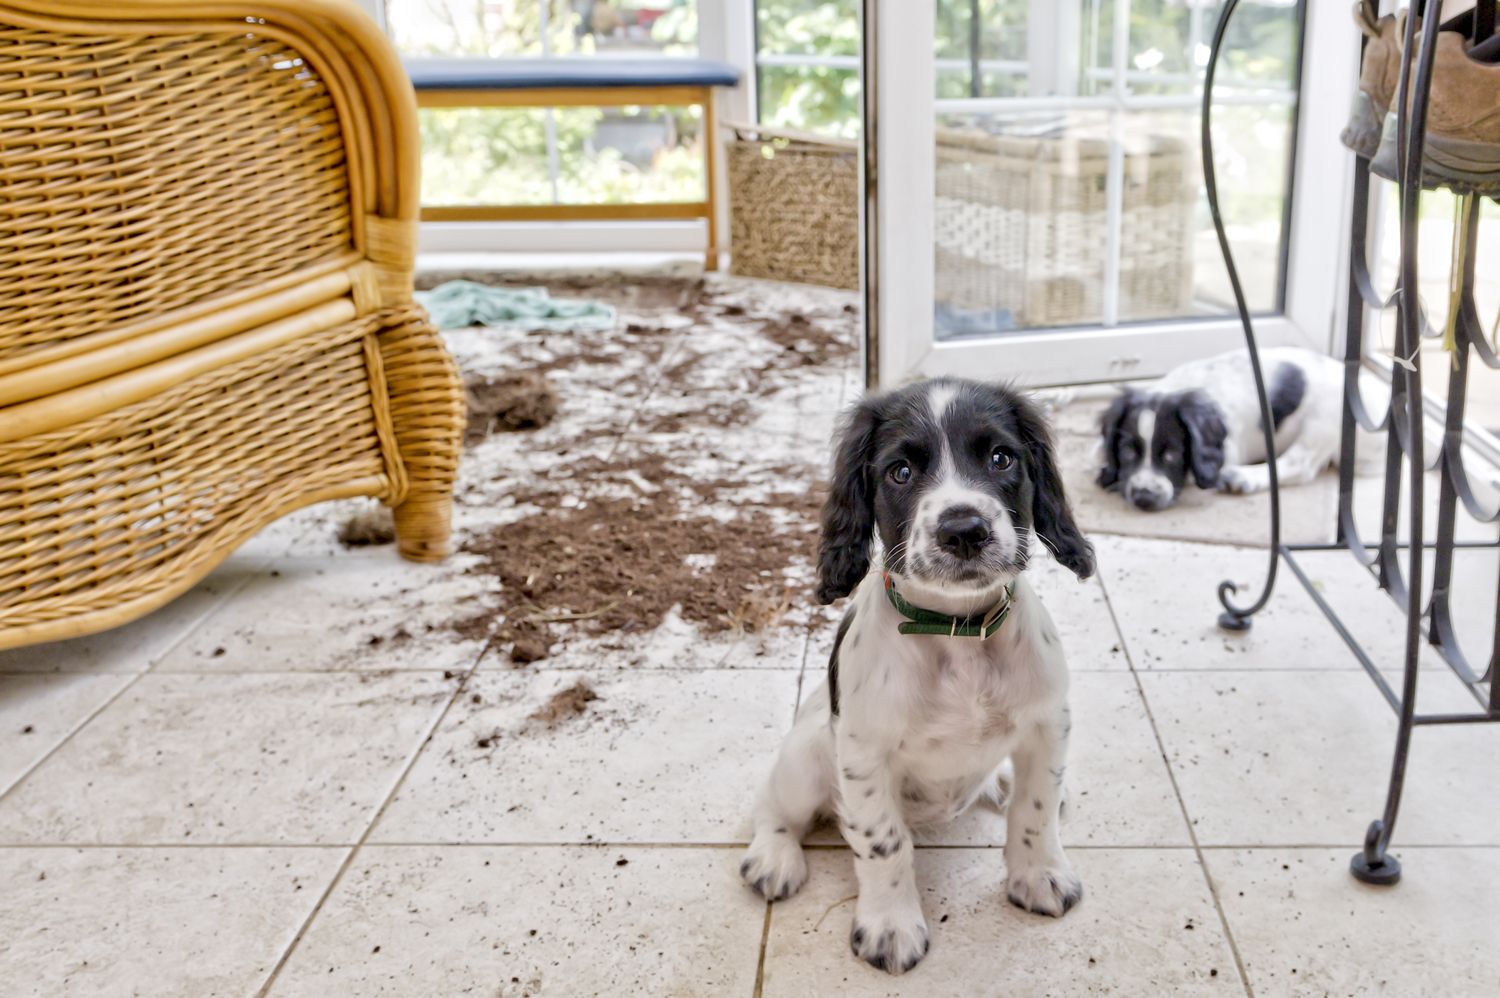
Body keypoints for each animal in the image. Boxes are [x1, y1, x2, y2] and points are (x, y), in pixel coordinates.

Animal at [738, 373, 1092, 972]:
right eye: (900, 471)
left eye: (1001, 458)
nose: (964, 530)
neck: (957, 633)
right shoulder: (863, 755)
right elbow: (883, 842)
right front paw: (890, 928)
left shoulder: (1050, 724)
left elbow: (1036, 808)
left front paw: (1039, 875)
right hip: (807, 755)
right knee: (773, 804)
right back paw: (773, 858)